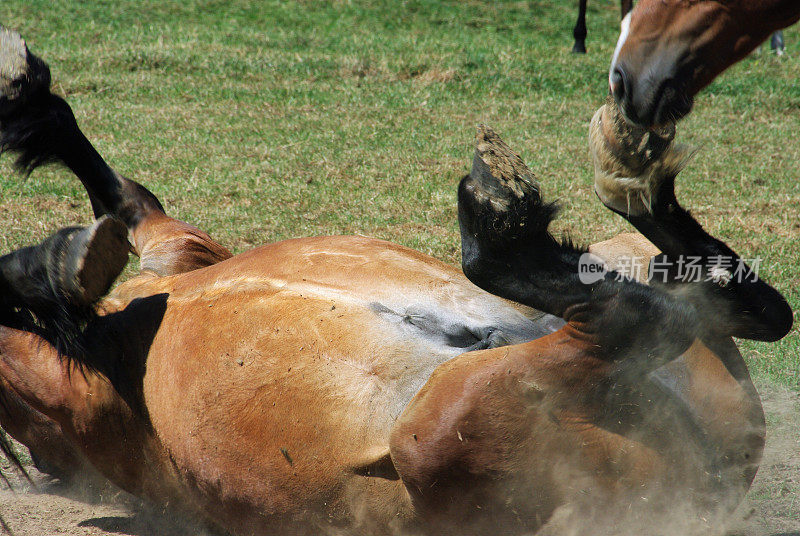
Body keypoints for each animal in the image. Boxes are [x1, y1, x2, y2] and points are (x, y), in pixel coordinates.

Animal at [0, 28, 792, 536]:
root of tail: (704, 493)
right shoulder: (76, 381)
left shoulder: (181, 252)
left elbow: (124, 195)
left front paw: (30, 104)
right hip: (433, 432)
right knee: (648, 318)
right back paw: (521, 220)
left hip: (627, 291)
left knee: (732, 306)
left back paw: (630, 183)